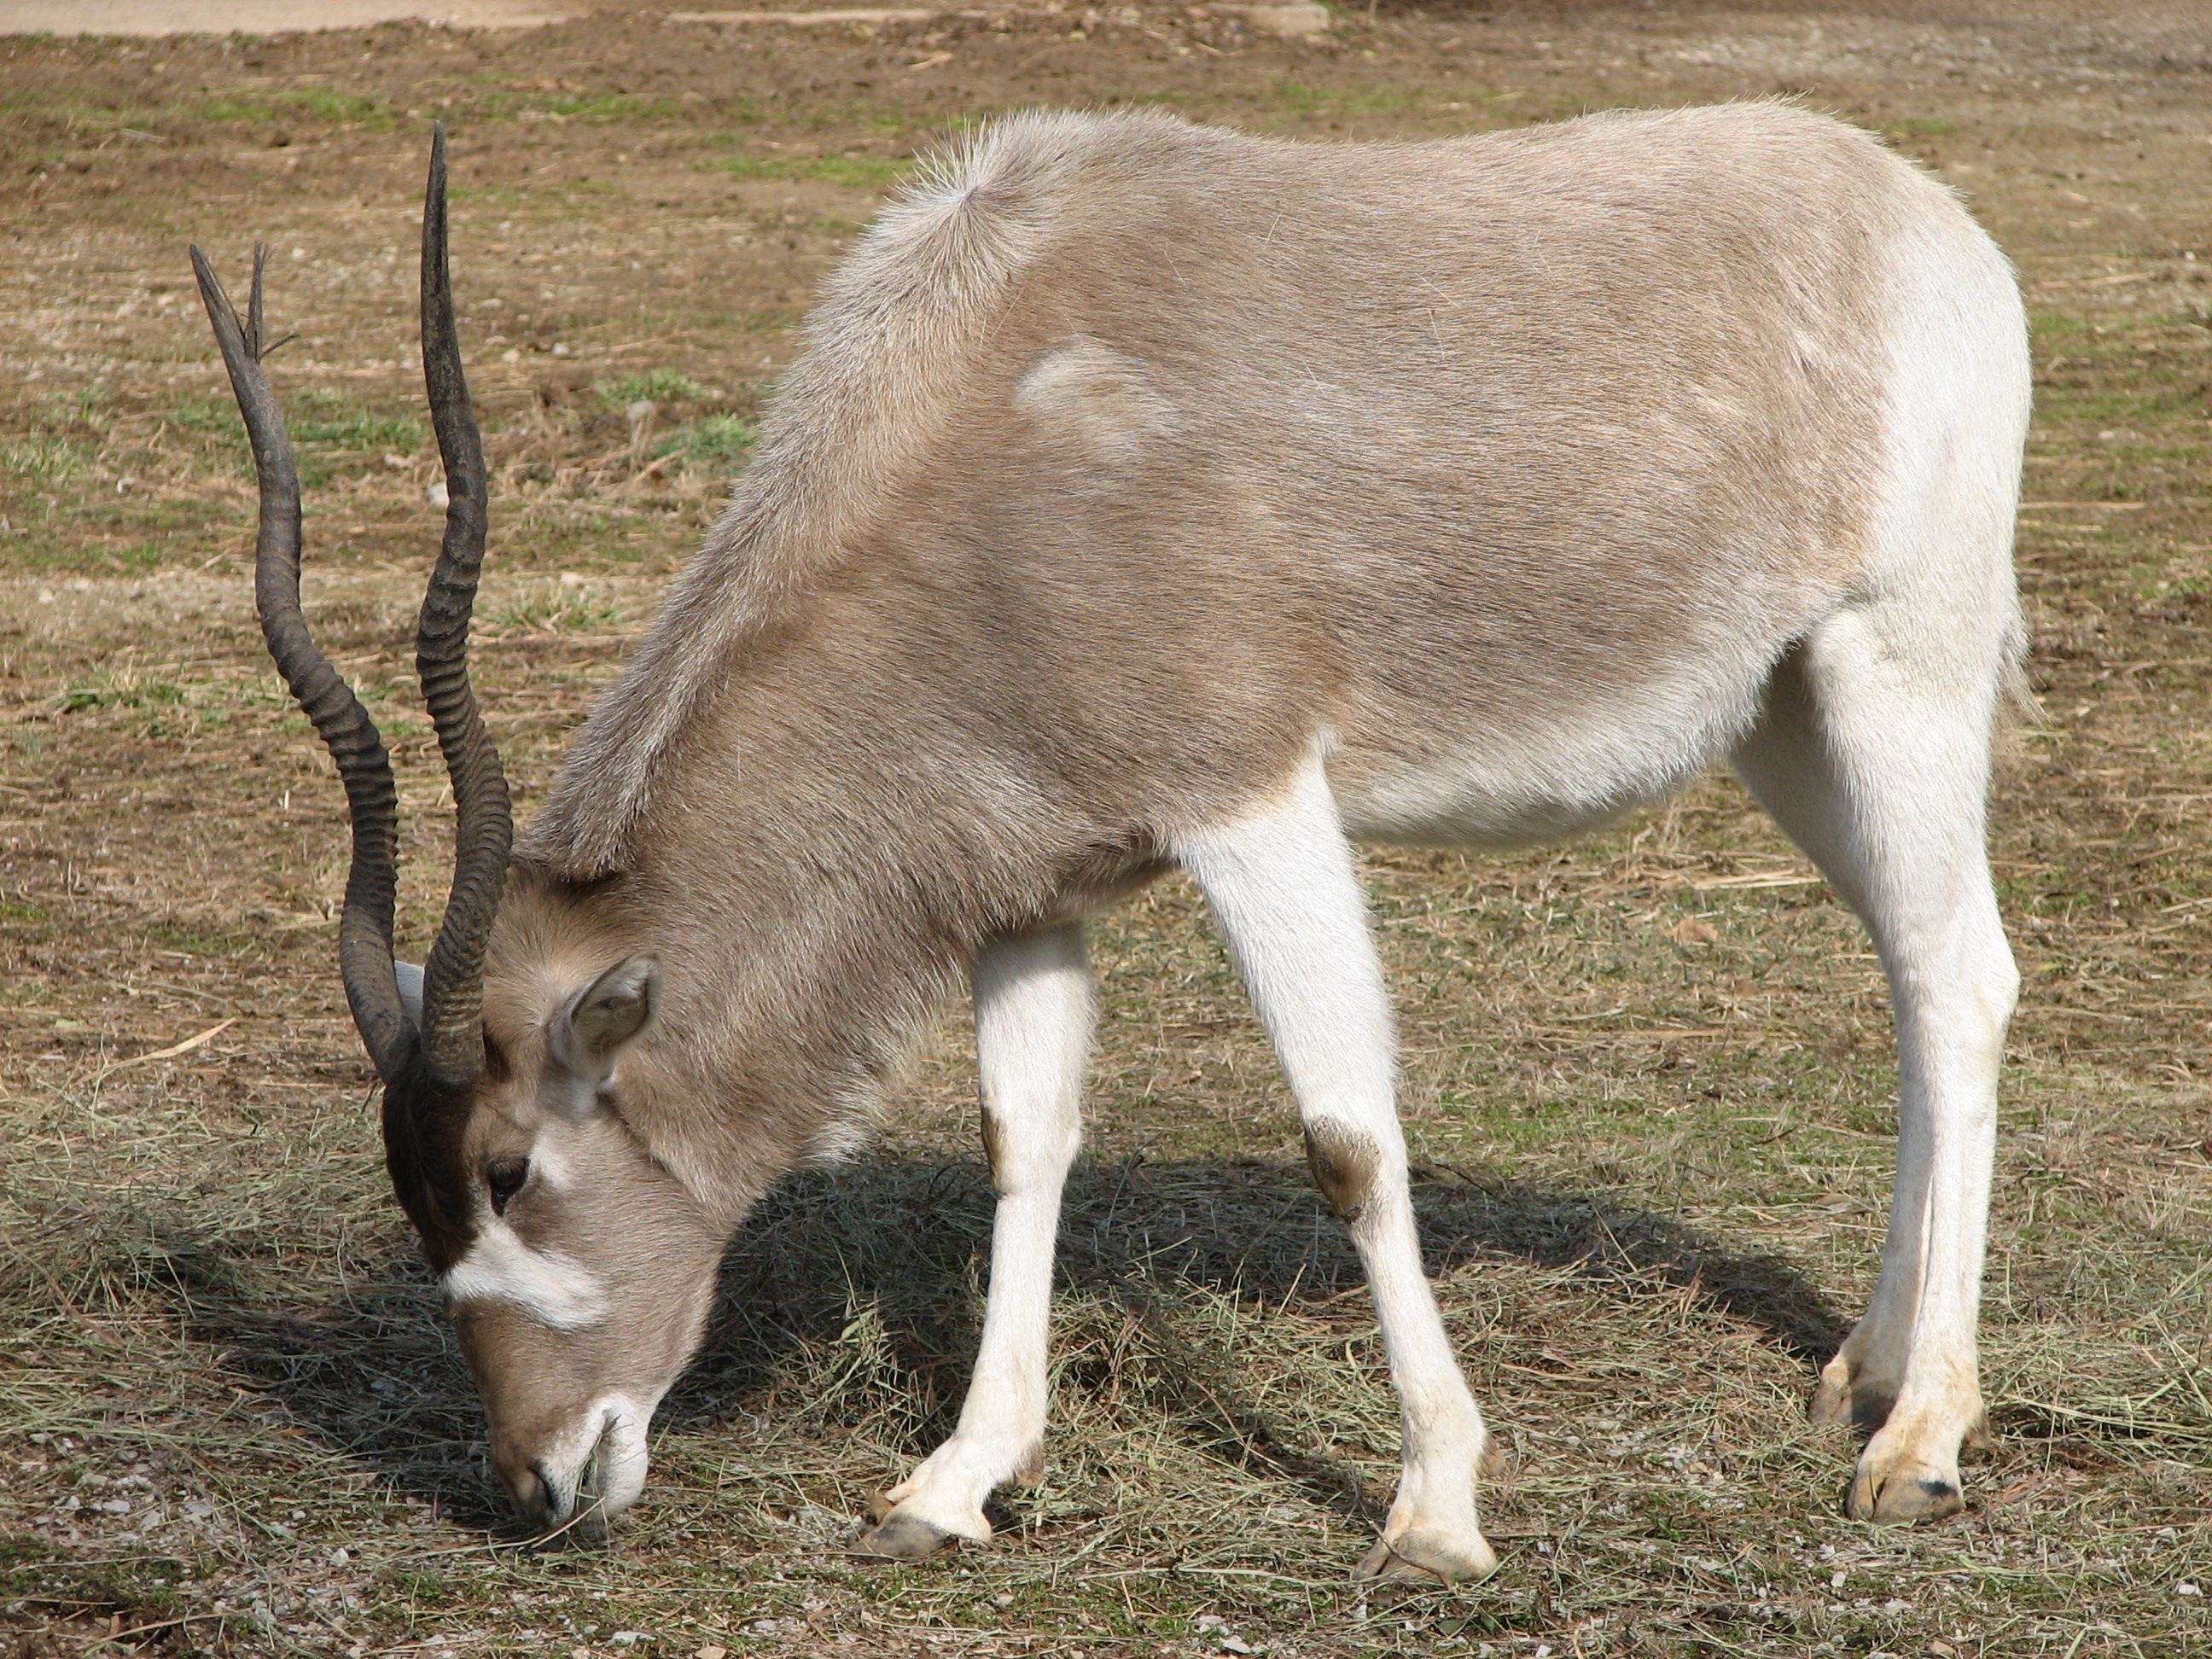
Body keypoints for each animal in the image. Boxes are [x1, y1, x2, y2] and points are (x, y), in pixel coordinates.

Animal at [199, 103, 2026, 1583]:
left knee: (1958, 979)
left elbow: (1345, 1135)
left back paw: (1920, 1438)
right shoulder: (1026, 874)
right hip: (1784, 715)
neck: (988, 406)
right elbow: (1025, 1133)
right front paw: (953, 1479)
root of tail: (1923, 216)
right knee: (1909, 974)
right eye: (415, 1193)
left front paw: (1436, 1505)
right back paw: (1863, 1369)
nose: (534, 1478)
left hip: (1897, 668)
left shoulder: (1251, 795)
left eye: (511, 1166)